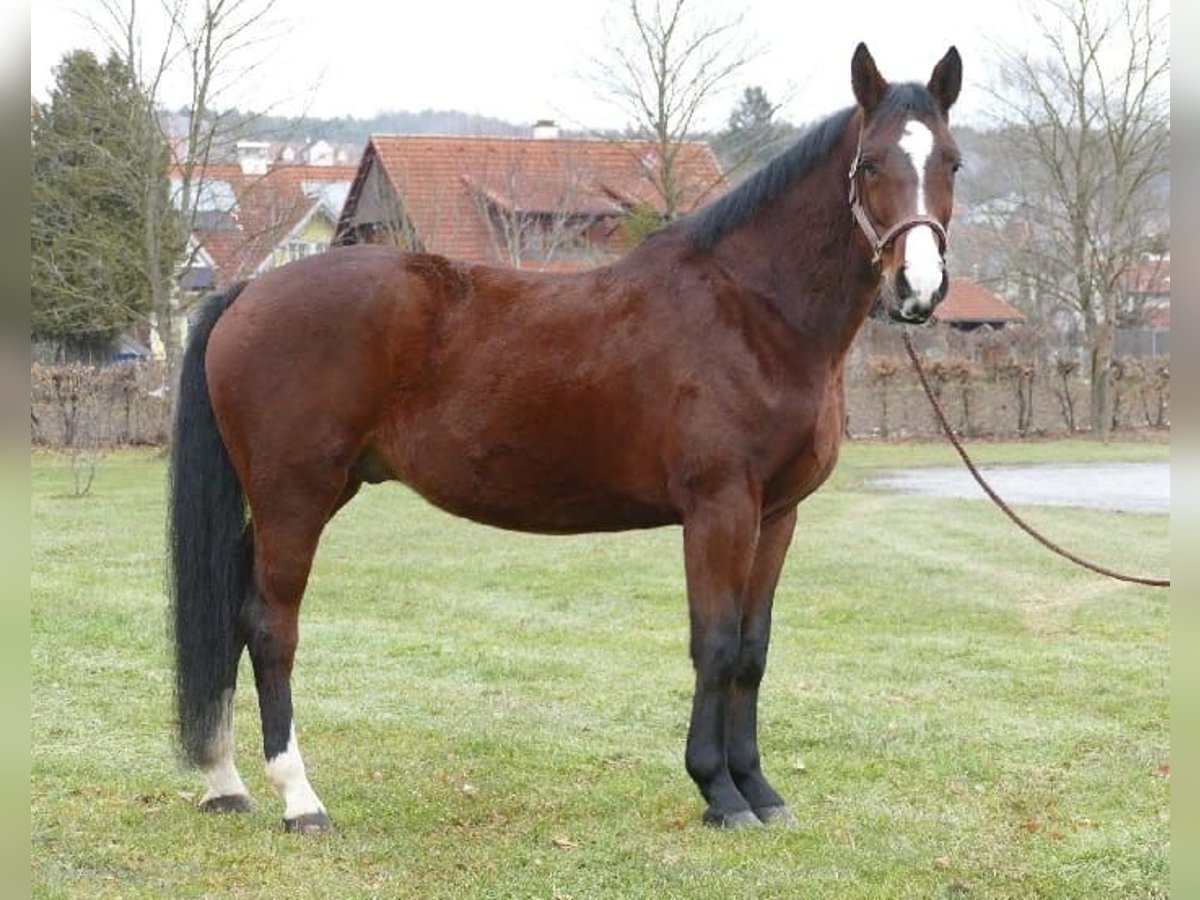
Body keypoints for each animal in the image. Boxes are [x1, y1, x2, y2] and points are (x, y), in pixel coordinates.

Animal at [169, 42, 960, 830]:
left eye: (950, 162)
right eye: (871, 165)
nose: (918, 289)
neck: (753, 312)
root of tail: (250, 290)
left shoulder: (777, 514)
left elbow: (752, 649)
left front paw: (759, 789)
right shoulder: (720, 508)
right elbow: (715, 643)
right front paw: (719, 791)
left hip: (308, 495)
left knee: (231, 615)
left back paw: (224, 781)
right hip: (295, 496)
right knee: (271, 626)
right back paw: (299, 798)